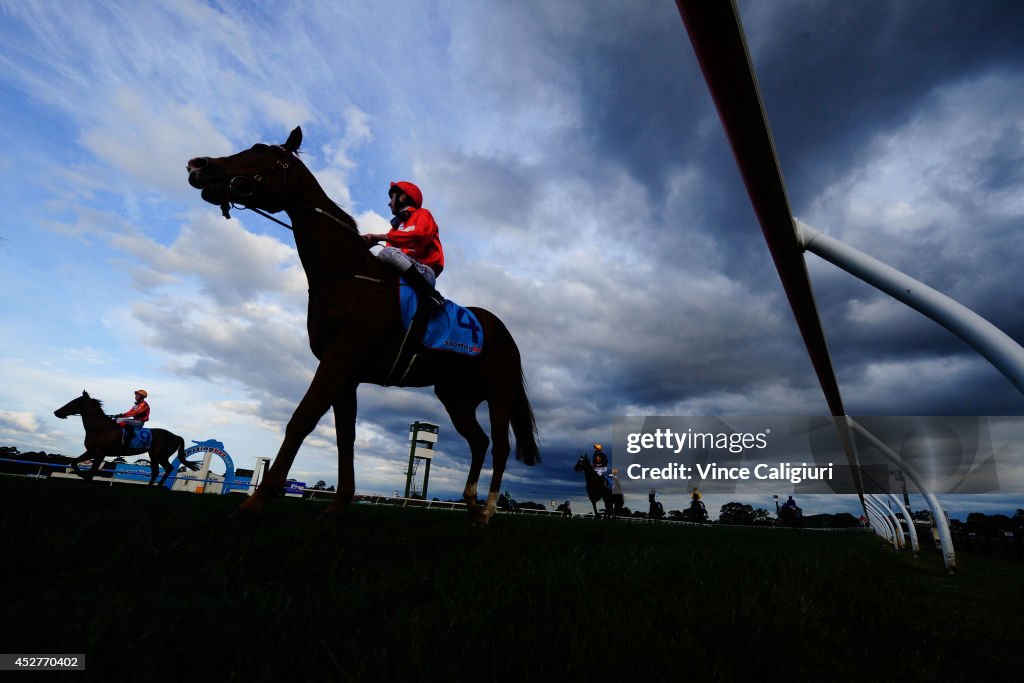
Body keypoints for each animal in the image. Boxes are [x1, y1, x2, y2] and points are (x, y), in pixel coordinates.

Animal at [52, 389, 197, 485]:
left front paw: (85, 476)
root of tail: (176, 436)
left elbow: (92, 471)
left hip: (160, 455)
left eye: (74, 402)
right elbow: (74, 462)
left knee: (169, 469)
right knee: (156, 471)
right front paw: (81, 474)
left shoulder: (100, 453)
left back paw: (159, 486)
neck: (100, 427)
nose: (56, 412)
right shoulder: (91, 451)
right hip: (153, 456)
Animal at [185, 126, 540, 524]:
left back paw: (488, 510)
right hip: (456, 396)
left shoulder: (338, 360)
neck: (347, 276)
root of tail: (504, 331)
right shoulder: (347, 372)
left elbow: (301, 419)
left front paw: (255, 502)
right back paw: (472, 504)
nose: (198, 165)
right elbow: (345, 435)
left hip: (499, 392)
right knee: (479, 441)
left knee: (500, 446)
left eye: (265, 157)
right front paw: (338, 505)